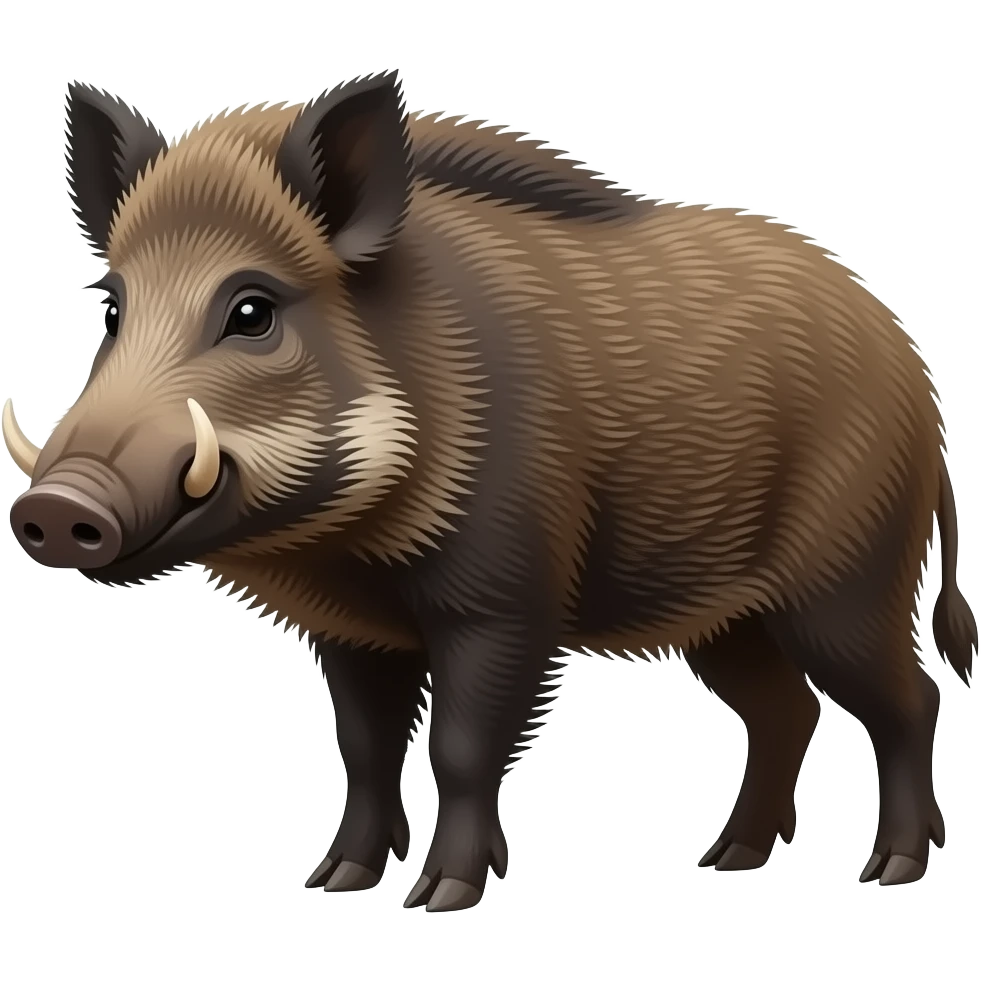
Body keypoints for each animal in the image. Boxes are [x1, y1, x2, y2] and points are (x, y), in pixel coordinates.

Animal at [4, 72, 977, 910]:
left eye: (252, 309)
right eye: (113, 307)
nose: (55, 508)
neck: (344, 548)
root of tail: (918, 375)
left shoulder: (505, 601)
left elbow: (462, 747)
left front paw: (442, 897)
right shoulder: (353, 629)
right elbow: (364, 746)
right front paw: (336, 881)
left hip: (848, 579)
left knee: (907, 699)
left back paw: (889, 869)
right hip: (725, 615)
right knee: (787, 710)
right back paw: (726, 858)